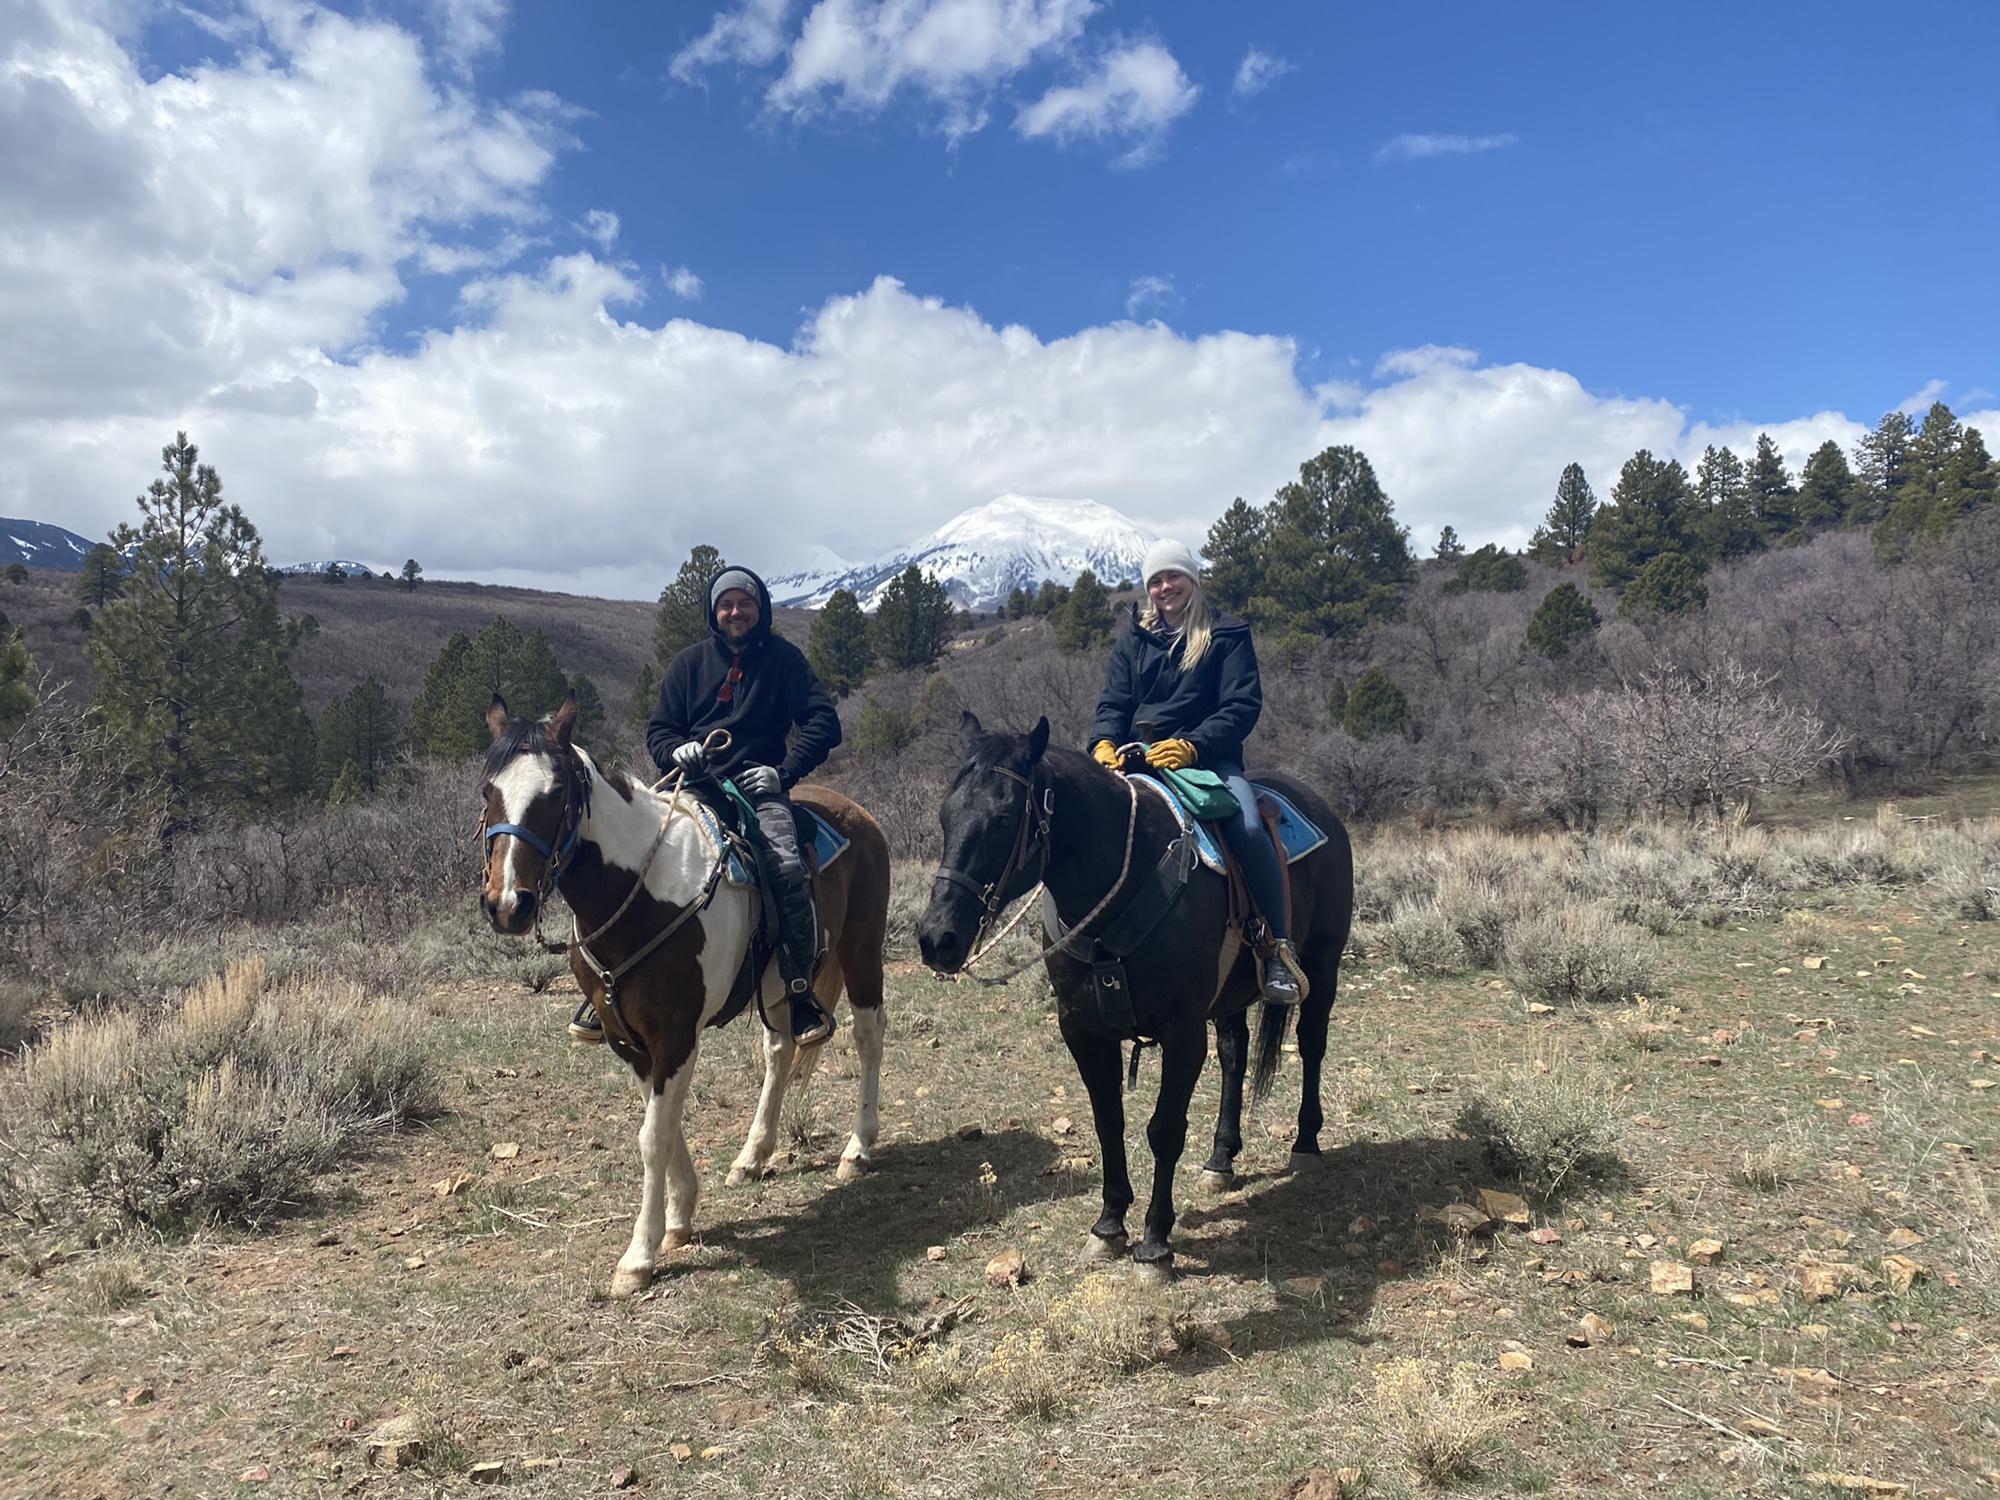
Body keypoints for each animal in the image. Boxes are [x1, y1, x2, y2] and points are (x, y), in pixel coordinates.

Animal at [476, 700, 892, 1296]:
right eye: (488, 790)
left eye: (555, 794)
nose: (509, 904)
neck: (643, 897)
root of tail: (858, 814)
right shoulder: (627, 1039)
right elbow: (665, 1127)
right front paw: (680, 1217)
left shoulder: (676, 1035)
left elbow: (654, 1137)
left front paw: (638, 1257)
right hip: (779, 987)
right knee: (780, 1051)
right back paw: (752, 1156)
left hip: (861, 952)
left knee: (867, 1037)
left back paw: (858, 1149)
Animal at [916, 716, 1352, 1280]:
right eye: (946, 815)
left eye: (1004, 817)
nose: (936, 938)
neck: (1123, 881)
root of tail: (1319, 806)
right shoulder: (1082, 1030)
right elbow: (1108, 1122)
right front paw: (1108, 1226)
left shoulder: (1181, 1031)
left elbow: (1164, 1129)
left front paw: (1155, 1242)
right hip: (1230, 998)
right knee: (1234, 1053)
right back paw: (1221, 1158)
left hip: (1322, 964)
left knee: (1312, 1042)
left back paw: (1305, 1143)